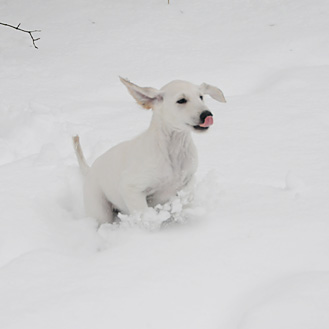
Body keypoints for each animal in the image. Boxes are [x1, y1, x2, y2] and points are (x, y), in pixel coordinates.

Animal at [72, 76, 224, 223]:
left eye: (201, 97)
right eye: (181, 100)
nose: (207, 114)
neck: (173, 149)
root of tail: (89, 170)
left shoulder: (189, 178)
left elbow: (185, 196)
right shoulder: (131, 188)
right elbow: (145, 215)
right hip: (99, 209)